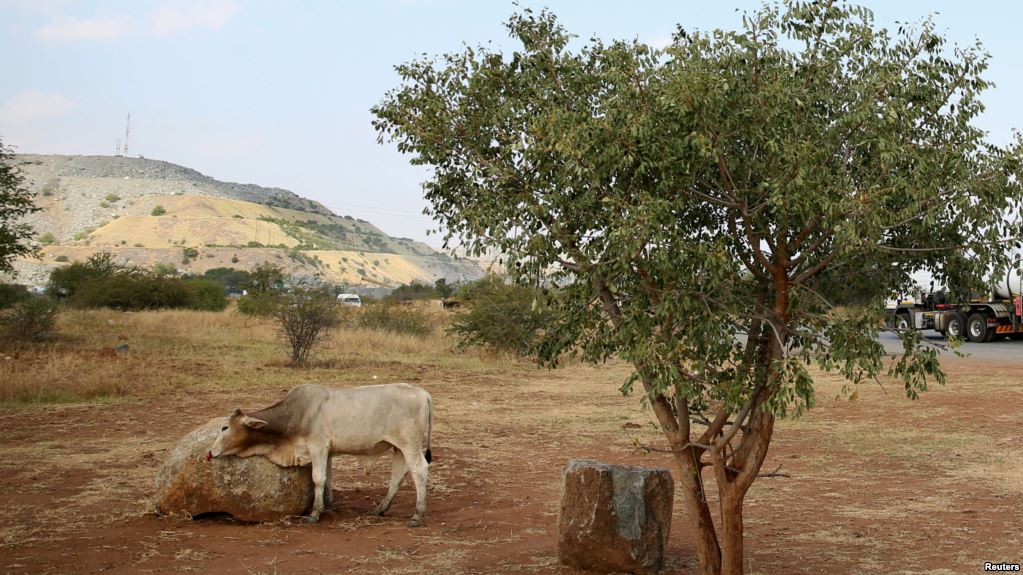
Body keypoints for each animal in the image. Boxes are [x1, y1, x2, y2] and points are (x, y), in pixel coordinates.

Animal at [207, 382, 431, 527]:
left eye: (225, 427)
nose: (210, 452)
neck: (296, 414)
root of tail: (423, 393)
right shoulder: (328, 452)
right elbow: (328, 479)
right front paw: (328, 507)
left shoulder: (318, 448)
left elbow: (318, 479)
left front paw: (315, 514)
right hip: (399, 448)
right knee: (398, 476)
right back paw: (380, 509)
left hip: (410, 445)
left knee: (420, 470)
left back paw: (417, 515)